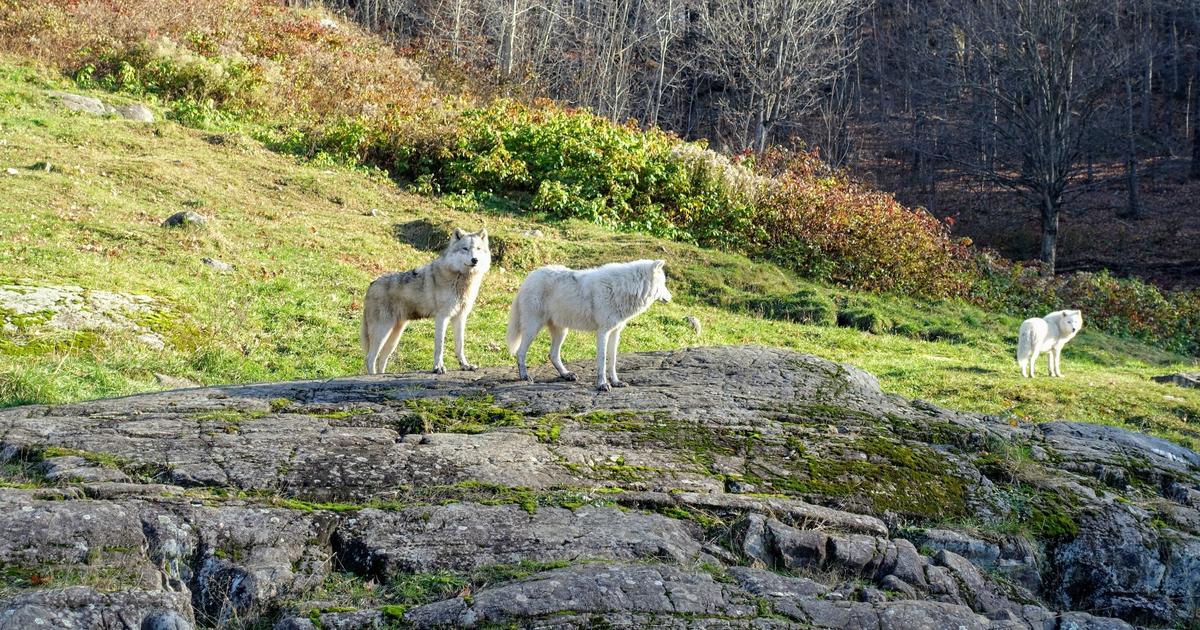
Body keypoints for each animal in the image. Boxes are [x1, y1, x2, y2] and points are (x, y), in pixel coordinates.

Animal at [361, 228, 490, 375]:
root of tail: (372, 284)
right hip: (382, 332)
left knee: (382, 358)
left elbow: (460, 346)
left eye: (478, 249)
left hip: (394, 336)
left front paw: (465, 366)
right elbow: (439, 346)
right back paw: (373, 376)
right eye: (465, 248)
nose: (475, 260)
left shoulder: (460, 318)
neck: (461, 278)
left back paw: (382, 375)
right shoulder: (442, 318)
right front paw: (438, 367)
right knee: (370, 358)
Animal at [506, 259, 672, 391]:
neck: (623, 288)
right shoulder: (603, 332)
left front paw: (616, 382)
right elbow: (602, 361)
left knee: (552, 354)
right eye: (663, 284)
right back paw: (525, 376)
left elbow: (612, 360)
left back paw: (566, 374)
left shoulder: (615, 332)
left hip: (562, 331)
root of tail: (528, 278)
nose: (670, 297)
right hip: (533, 328)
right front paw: (602, 384)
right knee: (520, 352)